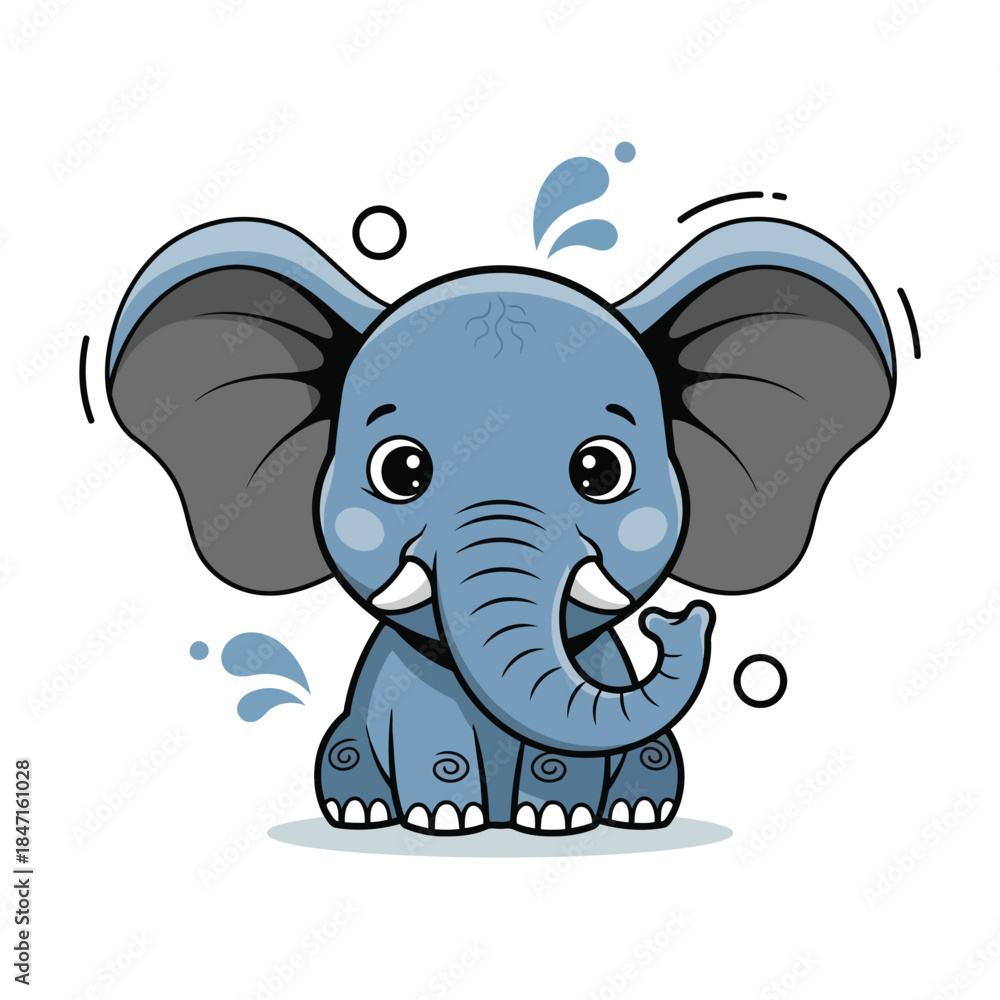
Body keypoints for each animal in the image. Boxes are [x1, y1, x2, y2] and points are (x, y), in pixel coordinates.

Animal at [106, 215, 894, 835]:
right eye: (402, 471)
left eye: (600, 471)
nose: (679, 621)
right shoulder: (408, 686)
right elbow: (432, 731)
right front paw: (444, 823)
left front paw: (557, 822)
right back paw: (363, 812)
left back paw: (638, 813)